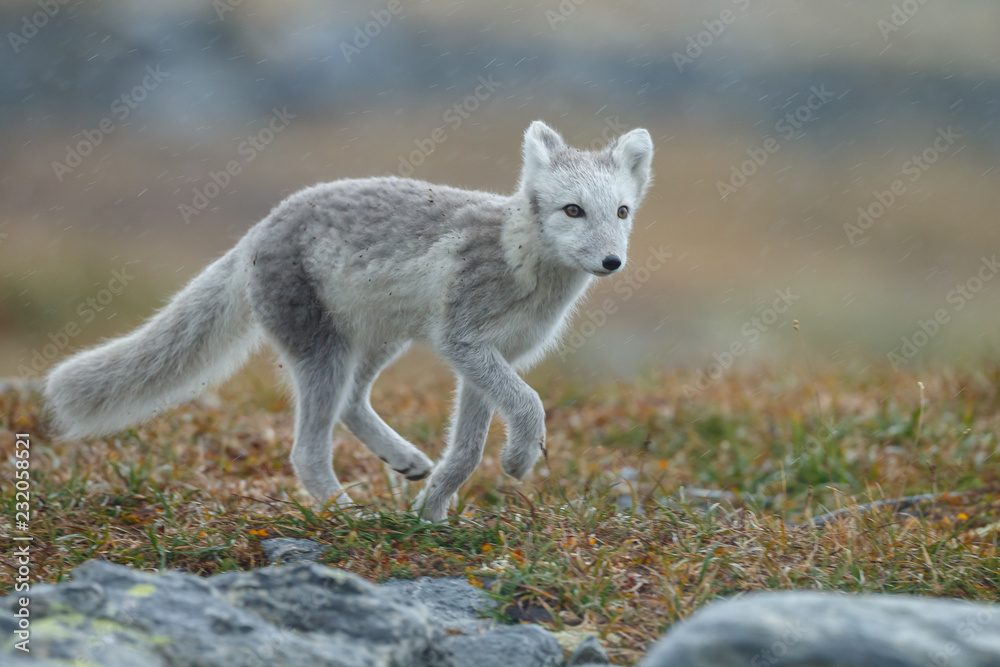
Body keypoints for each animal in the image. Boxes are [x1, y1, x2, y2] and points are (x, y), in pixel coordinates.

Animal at [43, 120, 654, 521]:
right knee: (308, 450)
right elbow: (528, 403)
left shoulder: (489, 359)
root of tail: (257, 232)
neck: (521, 262)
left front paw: (432, 514)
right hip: (325, 353)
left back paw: (405, 462)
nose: (612, 262)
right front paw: (520, 458)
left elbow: (466, 452)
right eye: (572, 210)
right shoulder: (464, 345)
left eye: (622, 212)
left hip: (379, 342)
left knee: (352, 405)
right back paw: (346, 514)